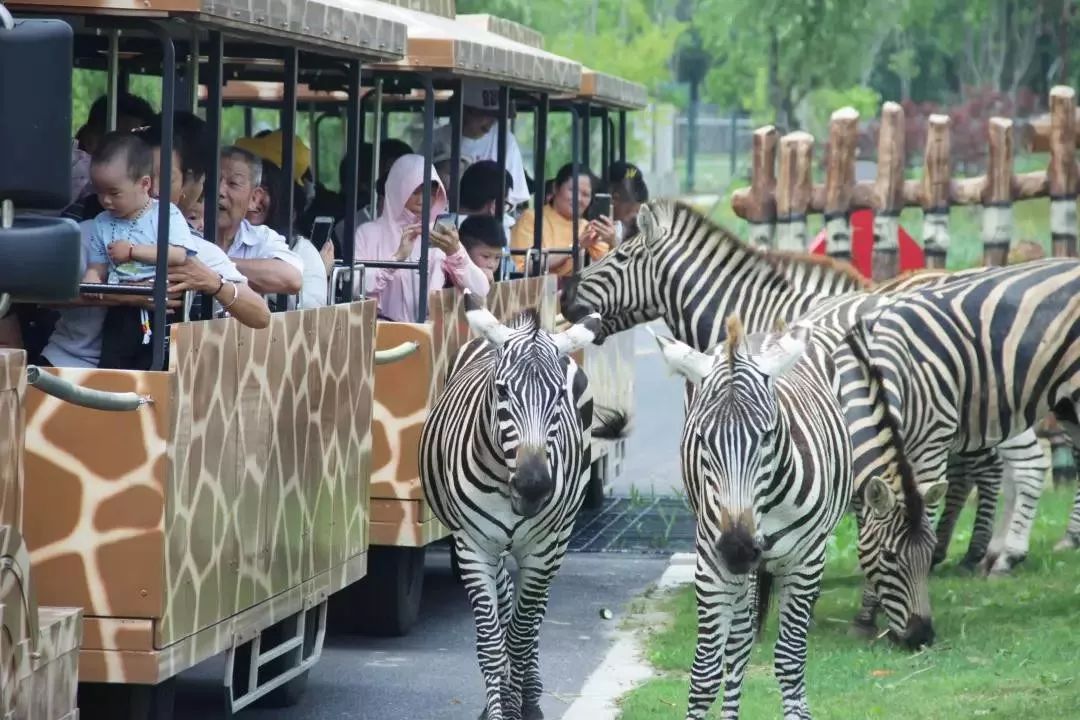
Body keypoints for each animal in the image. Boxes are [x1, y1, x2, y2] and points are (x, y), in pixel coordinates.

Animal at [421, 289, 604, 716]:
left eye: (559, 397)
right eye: (502, 391)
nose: (533, 486)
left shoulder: (542, 548)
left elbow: (521, 635)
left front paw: (522, 705)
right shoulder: (472, 546)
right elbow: (490, 642)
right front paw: (499, 708)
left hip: (561, 536)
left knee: (534, 615)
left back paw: (530, 691)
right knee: (506, 594)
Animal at [648, 317, 851, 720]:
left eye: (768, 436)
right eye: (701, 439)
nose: (739, 549)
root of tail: (760, 334)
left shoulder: (803, 562)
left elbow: (790, 660)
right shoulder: (711, 561)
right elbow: (706, 672)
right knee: (739, 642)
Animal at [833, 257, 1080, 647]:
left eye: (924, 554)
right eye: (887, 556)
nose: (920, 636)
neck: (872, 369)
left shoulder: (933, 445)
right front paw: (867, 616)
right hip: (1067, 403)